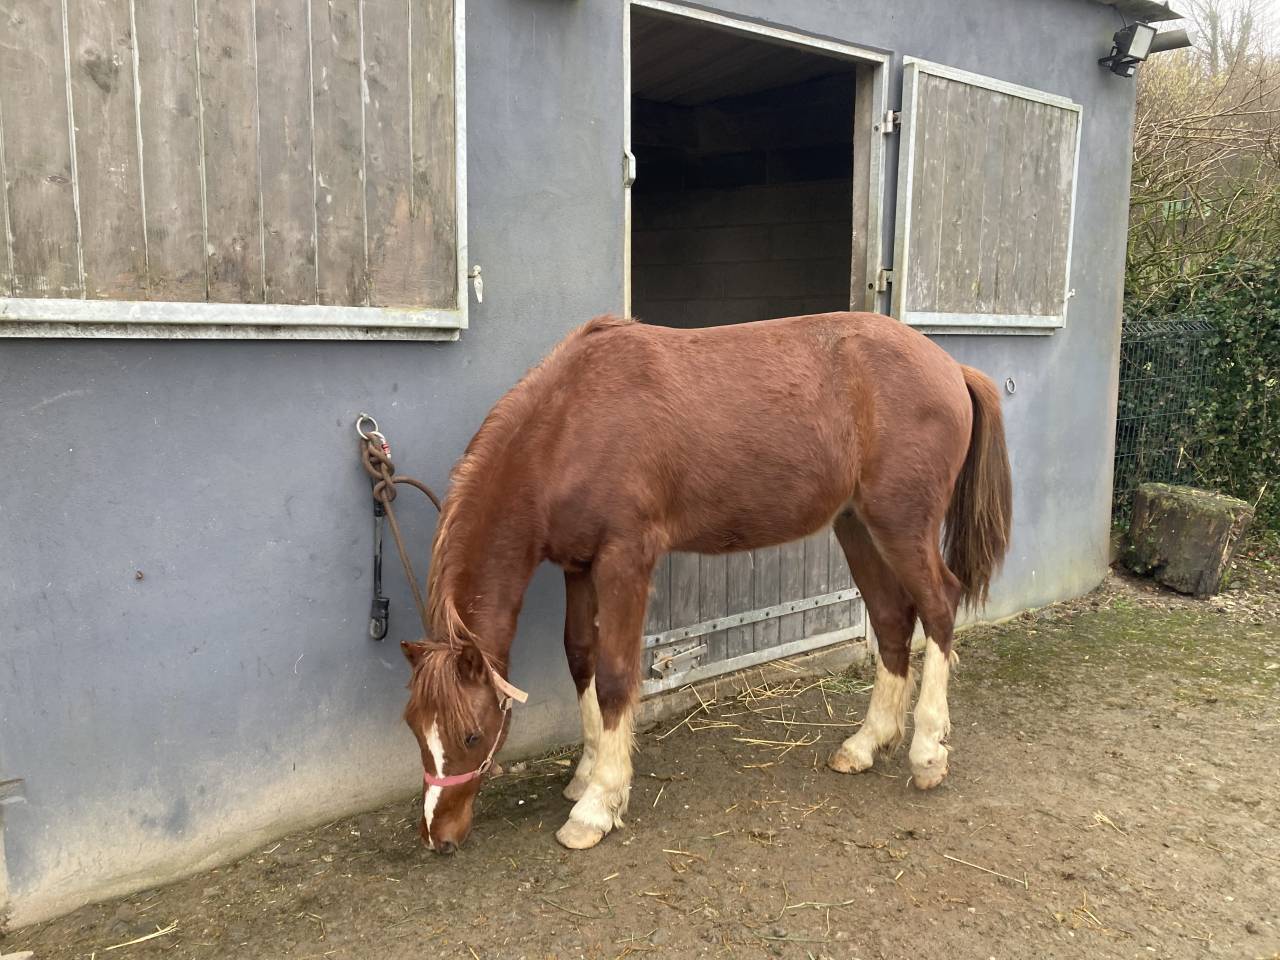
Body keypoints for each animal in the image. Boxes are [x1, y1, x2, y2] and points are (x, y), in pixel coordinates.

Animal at [400, 310, 1012, 853]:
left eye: (470, 735)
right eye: (414, 729)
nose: (438, 836)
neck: (571, 423)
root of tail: (951, 367)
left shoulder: (625, 558)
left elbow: (615, 675)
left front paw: (598, 804)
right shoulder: (578, 566)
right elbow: (580, 658)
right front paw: (587, 771)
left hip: (901, 524)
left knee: (939, 609)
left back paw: (928, 752)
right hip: (857, 525)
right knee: (891, 621)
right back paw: (866, 744)